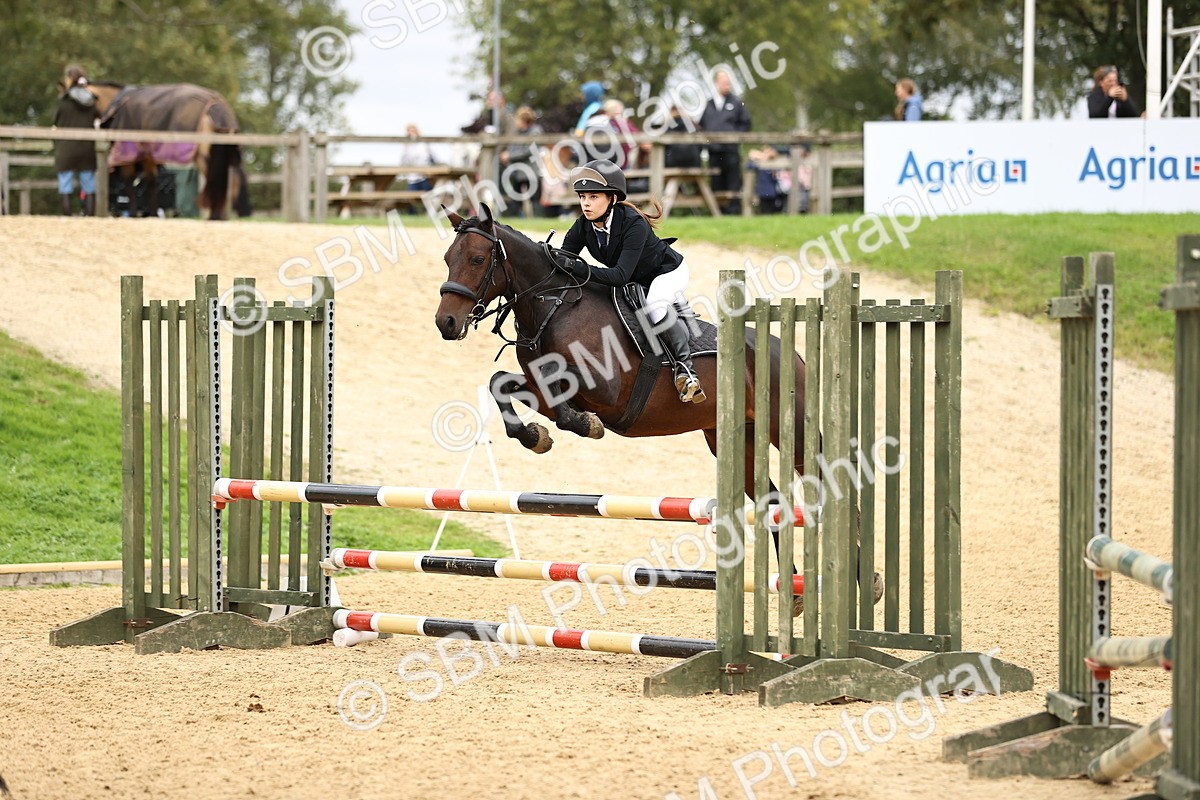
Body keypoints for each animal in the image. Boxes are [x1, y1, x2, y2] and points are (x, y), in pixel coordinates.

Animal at [87, 82, 250, 220]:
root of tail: (217, 106)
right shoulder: (148, 157)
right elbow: (151, 182)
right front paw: (152, 214)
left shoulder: (128, 157)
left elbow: (129, 184)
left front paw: (134, 214)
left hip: (204, 157)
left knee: (214, 181)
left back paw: (214, 216)